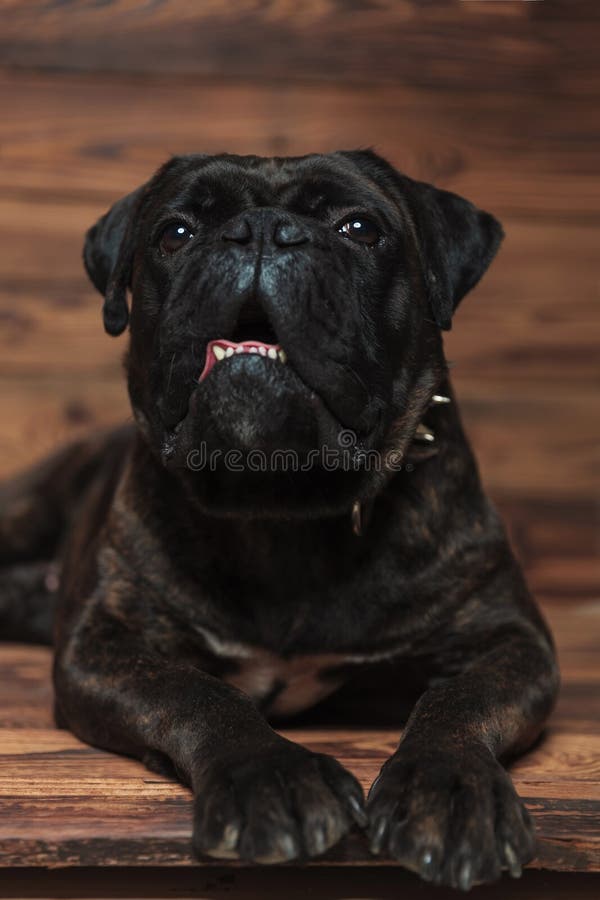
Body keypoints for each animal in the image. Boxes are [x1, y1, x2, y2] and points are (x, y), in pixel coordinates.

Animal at [0, 151, 556, 888]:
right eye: (175, 233)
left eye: (359, 228)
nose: (262, 230)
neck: (281, 501)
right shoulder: (107, 643)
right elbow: (197, 694)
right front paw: (269, 777)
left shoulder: (510, 639)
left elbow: (457, 703)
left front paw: (451, 788)